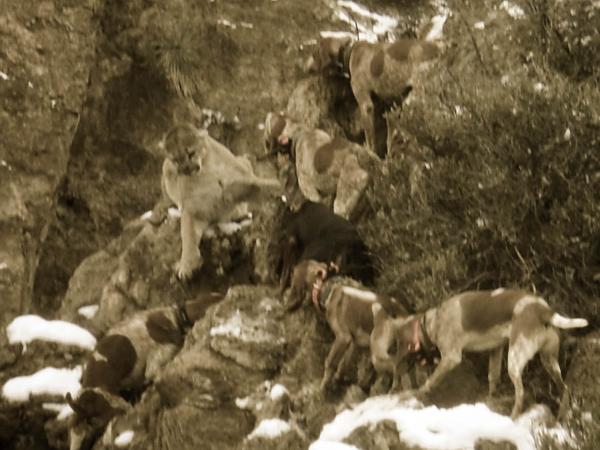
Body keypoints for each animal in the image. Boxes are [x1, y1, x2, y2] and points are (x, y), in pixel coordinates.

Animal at [150, 123, 281, 280]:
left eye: (191, 153)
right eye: (176, 160)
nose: (186, 170)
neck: (206, 172)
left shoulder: (242, 175)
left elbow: (257, 184)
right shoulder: (193, 210)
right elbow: (187, 236)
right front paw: (187, 265)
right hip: (166, 172)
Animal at [287, 259, 411, 392]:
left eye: (293, 277)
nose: (287, 306)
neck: (327, 286)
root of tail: (401, 311)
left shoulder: (343, 338)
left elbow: (330, 363)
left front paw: (323, 388)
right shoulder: (355, 343)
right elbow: (344, 364)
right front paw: (338, 379)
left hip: (378, 354)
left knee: (396, 367)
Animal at [306, 17, 445, 156]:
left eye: (314, 54)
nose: (306, 69)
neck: (349, 52)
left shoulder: (366, 104)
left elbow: (369, 135)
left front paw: (370, 150)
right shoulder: (390, 105)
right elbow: (390, 134)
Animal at [391, 289, 588, 418]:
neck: (433, 322)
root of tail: (543, 310)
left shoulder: (451, 357)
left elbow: (430, 381)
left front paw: (418, 391)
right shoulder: (496, 349)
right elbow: (492, 377)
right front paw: (490, 398)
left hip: (515, 360)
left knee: (521, 393)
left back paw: (513, 418)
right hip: (549, 360)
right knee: (565, 389)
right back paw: (563, 415)